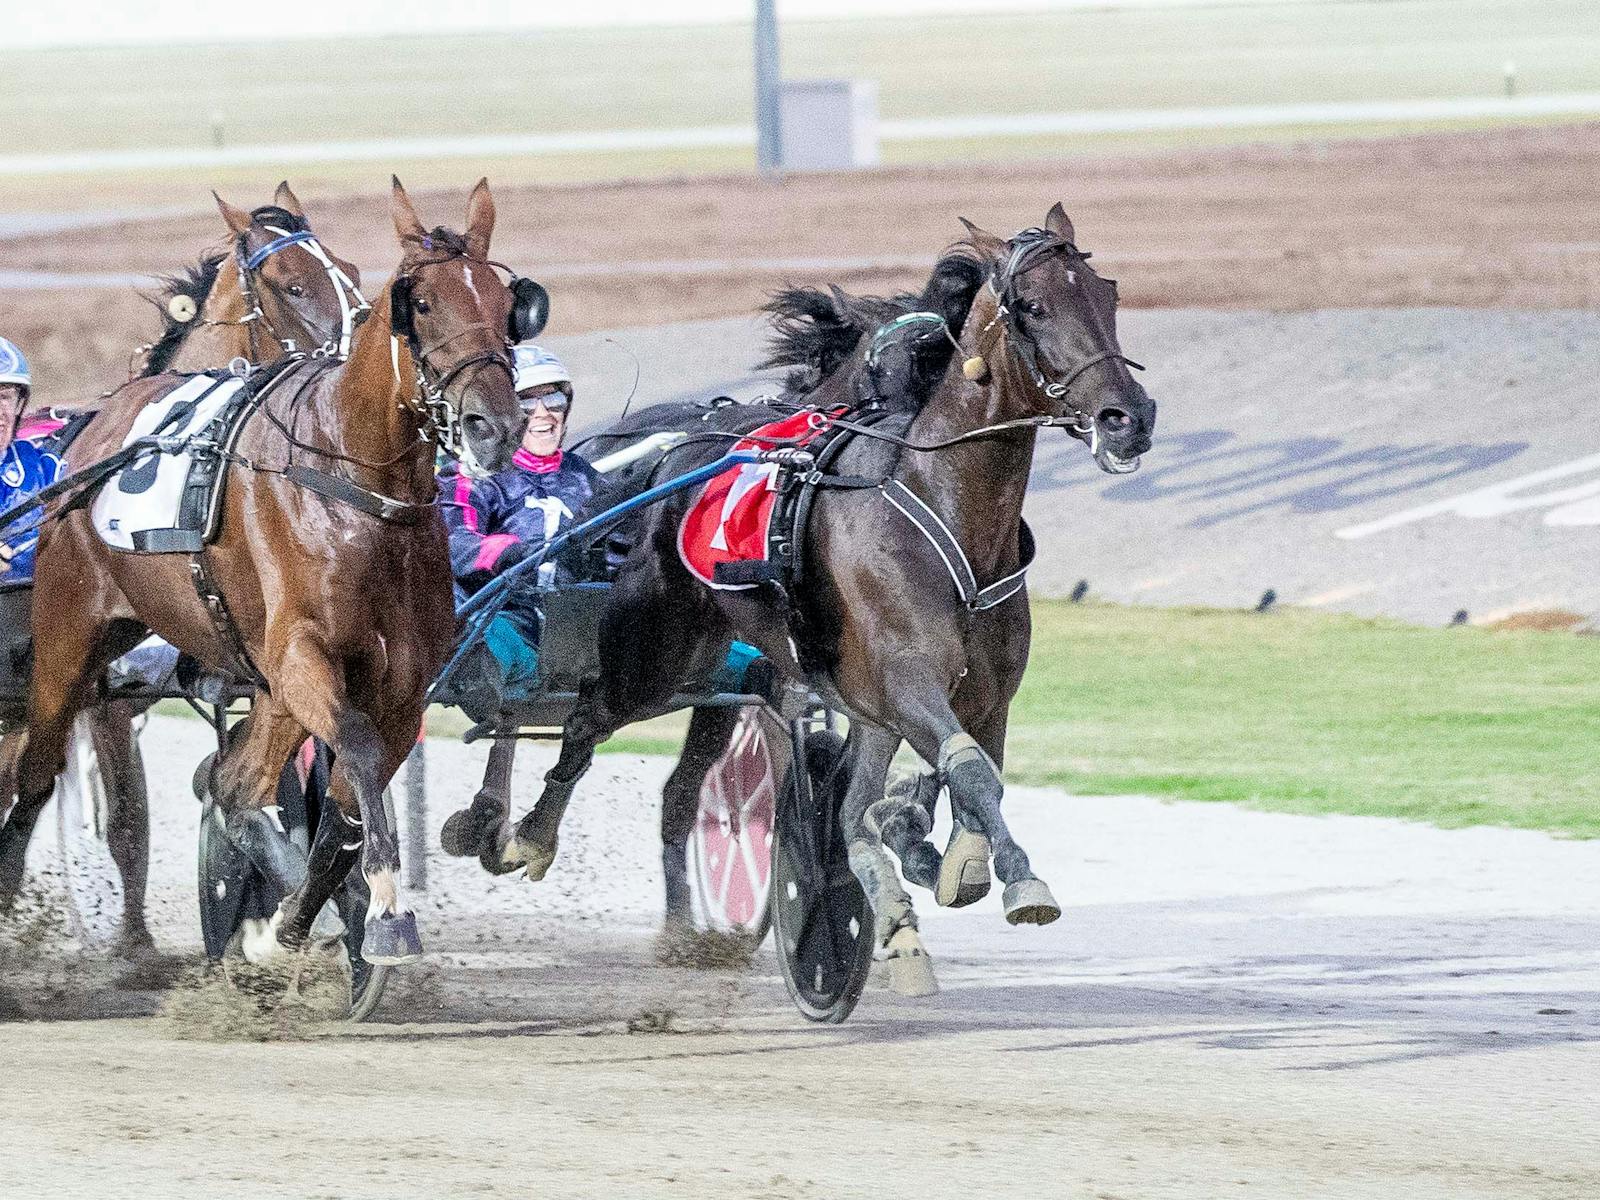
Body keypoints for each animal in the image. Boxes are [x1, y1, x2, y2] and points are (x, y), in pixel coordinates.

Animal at [492, 209, 1158, 998]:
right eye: (1033, 307)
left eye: (1107, 294)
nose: (1129, 417)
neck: (946, 509)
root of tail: (680, 455)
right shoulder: (903, 681)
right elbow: (960, 772)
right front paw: (1017, 881)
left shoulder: (972, 693)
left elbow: (960, 776)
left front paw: (940, 859)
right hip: (655, 653)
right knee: (589, 717)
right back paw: (526, 836)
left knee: (707, 787)